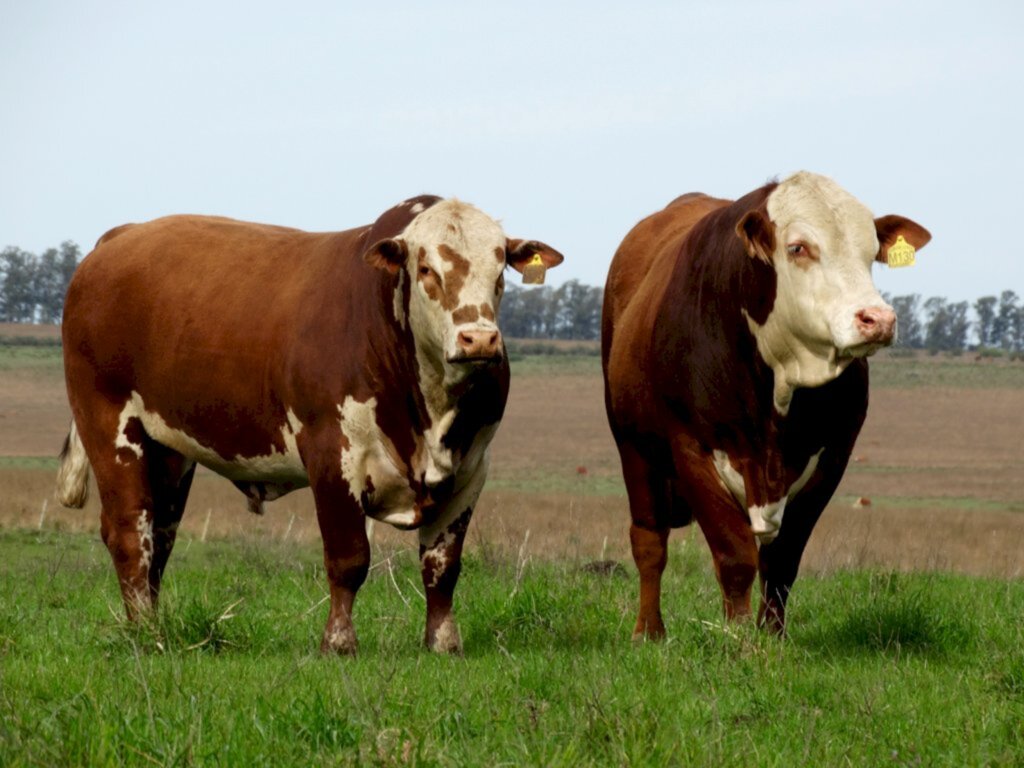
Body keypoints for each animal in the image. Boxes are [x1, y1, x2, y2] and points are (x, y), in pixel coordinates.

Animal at [54, 196, 569, 655]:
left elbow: (442, 565)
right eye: (426, 269)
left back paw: (153, 621)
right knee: (129, 530)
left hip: (168, 448)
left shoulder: (471, 468)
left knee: (159, 535)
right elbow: (349, 559)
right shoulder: (332, 454)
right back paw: (144, 632)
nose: (478, 338)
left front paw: (443, 643)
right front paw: (338, 643)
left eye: (500, 271)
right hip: (109, 422)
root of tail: (119, 237)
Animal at [602, 173, 933, 638]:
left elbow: (781, 562)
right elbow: (734, 557)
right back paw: (649, 631)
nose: (877, 319)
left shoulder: (833, 456)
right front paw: (739, 639)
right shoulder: (690, 448)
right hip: (633, 445)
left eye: (872, 252)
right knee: (649, 541)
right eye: (798, 248)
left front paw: (772, 637)